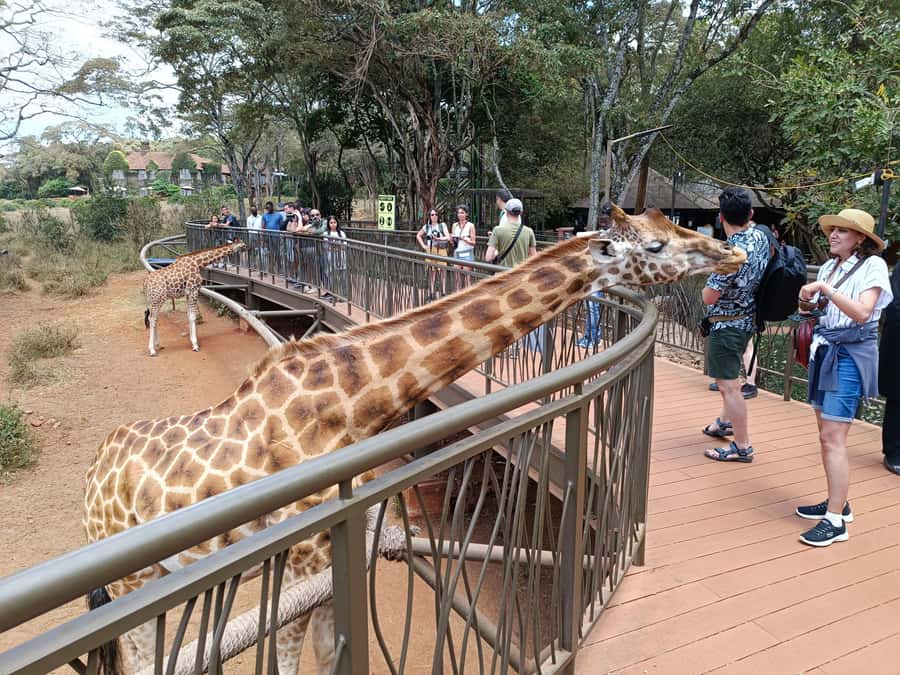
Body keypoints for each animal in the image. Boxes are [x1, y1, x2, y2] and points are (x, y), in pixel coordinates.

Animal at [85, 206, 745, 673]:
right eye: (656, 245)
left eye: (676, 226)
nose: (732, 251)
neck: (347, 406)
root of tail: (92, 476)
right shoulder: (299, 560)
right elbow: (288, 660)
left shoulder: (327, 563)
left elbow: (327, 654)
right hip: (129, 584)